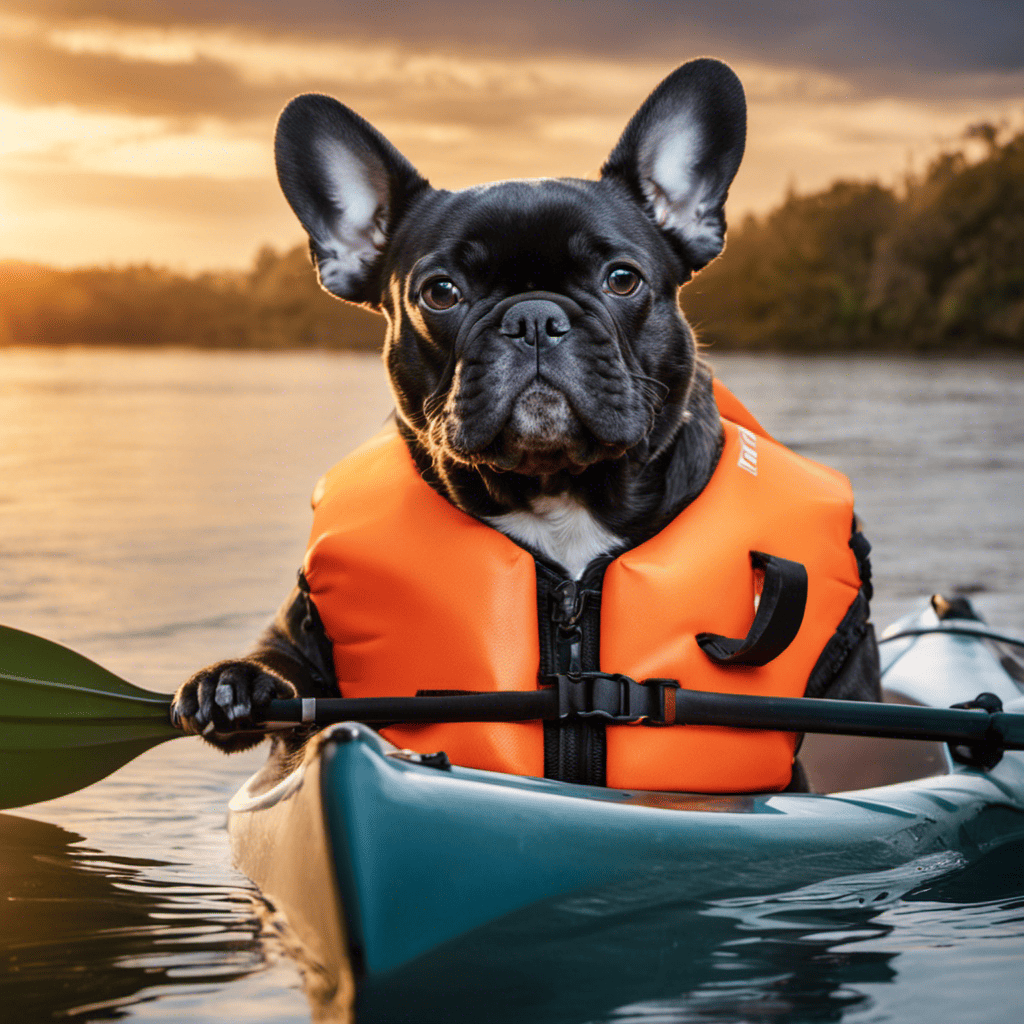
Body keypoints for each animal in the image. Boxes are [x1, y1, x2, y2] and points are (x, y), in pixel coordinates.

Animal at [172, 58, 876, 782]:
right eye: (440, 292)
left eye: (622, 279)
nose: (535, 316)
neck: (559, 494)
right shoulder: (304, 633)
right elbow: (282, 669)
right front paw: (235, 684)